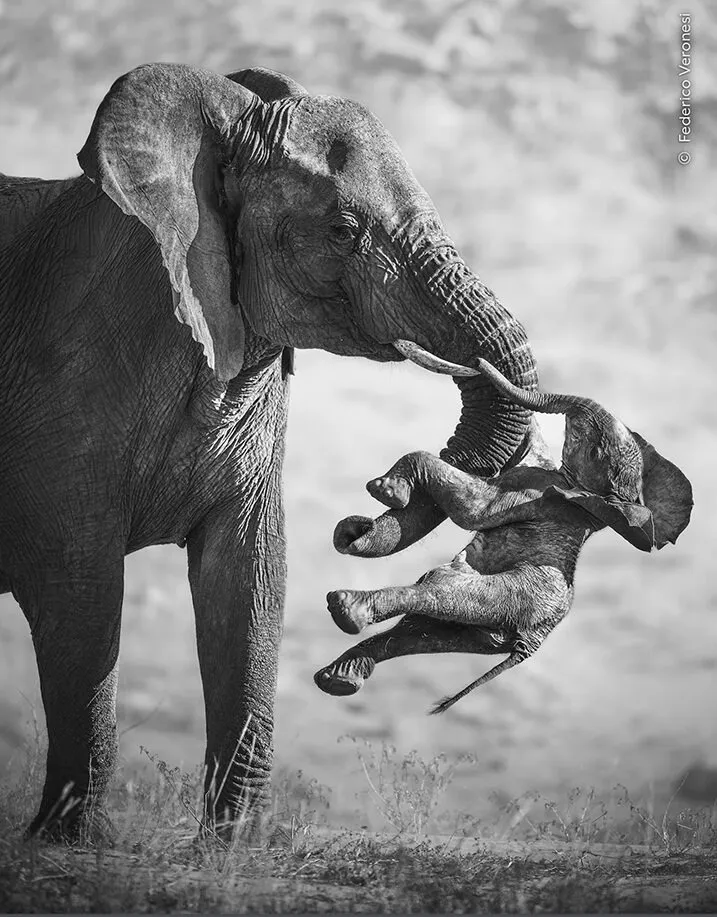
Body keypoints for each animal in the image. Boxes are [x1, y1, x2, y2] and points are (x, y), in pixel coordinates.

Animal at [0, 64, 539, 841]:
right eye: (343, 230)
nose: (362, 515)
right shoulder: (63, 388)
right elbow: (82, 593)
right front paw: (71, 845)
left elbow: (249, 579)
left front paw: (234, 849)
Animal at [315, 355, 693, 712]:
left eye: (595, 449)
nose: (477, 362)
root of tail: (530, 644)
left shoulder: (536, 492)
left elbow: (471, 509)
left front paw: (386, 491)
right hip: (488, 629)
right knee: (419, 631)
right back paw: (338, 678)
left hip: (511, 596)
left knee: (438, 592)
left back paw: (346, 609)